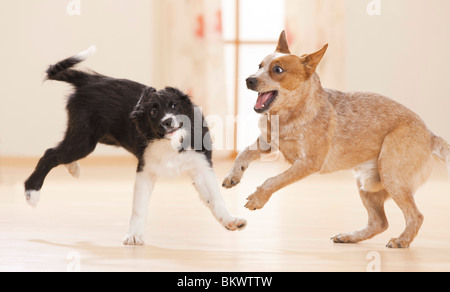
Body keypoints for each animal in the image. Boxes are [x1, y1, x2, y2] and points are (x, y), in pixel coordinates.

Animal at [23, 46, 246, 245]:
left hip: (96, 136)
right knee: (50, 154)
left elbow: (215, 199)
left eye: (174, 106)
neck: (171, 144)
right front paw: (134, 236)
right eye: (153, 112)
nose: (167, 122)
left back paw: (72, 168)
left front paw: (231, 221)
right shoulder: (145, 171)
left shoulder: (200, 166)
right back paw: (32, 193)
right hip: (85, 140)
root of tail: (91, 79)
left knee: (59, 151)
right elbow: (139, 207)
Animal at [223, 30, 448, 248]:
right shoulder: (268, 143)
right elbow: (243, 154)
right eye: (259, 66)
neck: (290, 114)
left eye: (278, 69)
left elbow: (273, 180)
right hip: (366, 183)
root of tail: (430, 135)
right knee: (379, 222)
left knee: (415, 216)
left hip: (391, 174)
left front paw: (257, 198)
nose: (249, 80)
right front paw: (233, 175)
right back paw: (349, 237)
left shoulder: (308, 163)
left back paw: (402, 240)